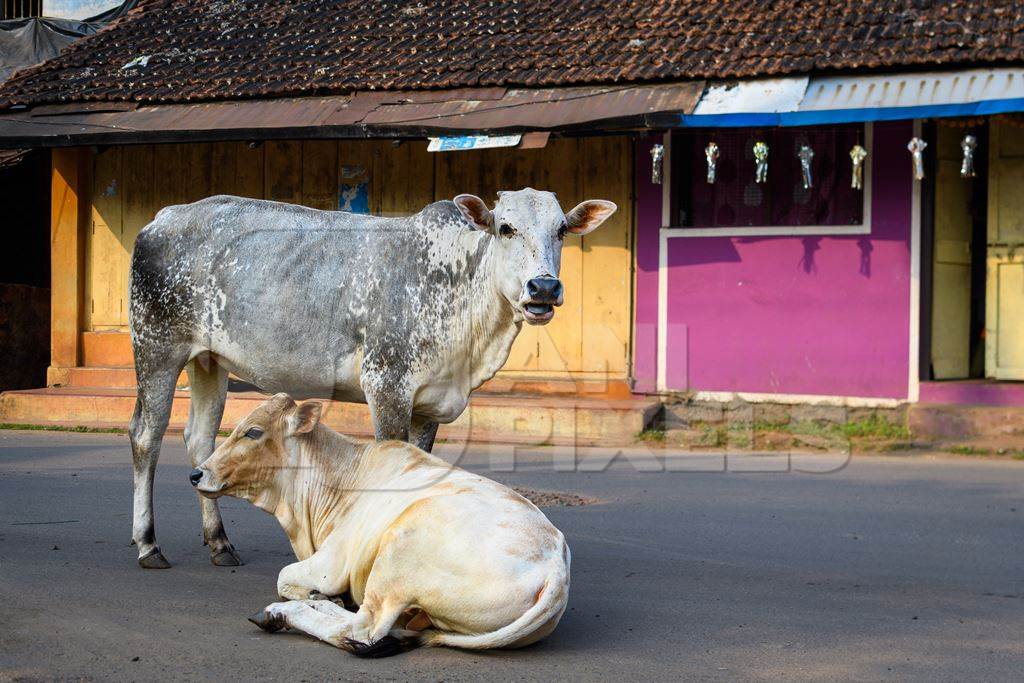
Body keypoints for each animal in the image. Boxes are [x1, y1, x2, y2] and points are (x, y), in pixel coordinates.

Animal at [123, 187, 610, 565]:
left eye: (561, 230)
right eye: (506, 228)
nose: (543, 288)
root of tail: (162, 218)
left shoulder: (428, 406)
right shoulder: (387, 386)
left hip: (208, 361)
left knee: (200, 438)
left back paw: (220, 542)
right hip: (157, 348)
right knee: (147, 435)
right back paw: (148, 545)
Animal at [191, 395, 569, 655]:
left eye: (253, 432)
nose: (197, 474)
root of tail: (555, 566)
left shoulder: (330, 564)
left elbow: (285, 577)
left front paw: (310, 596)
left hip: (400, 547)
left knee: (361, 631)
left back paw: (280, 613)